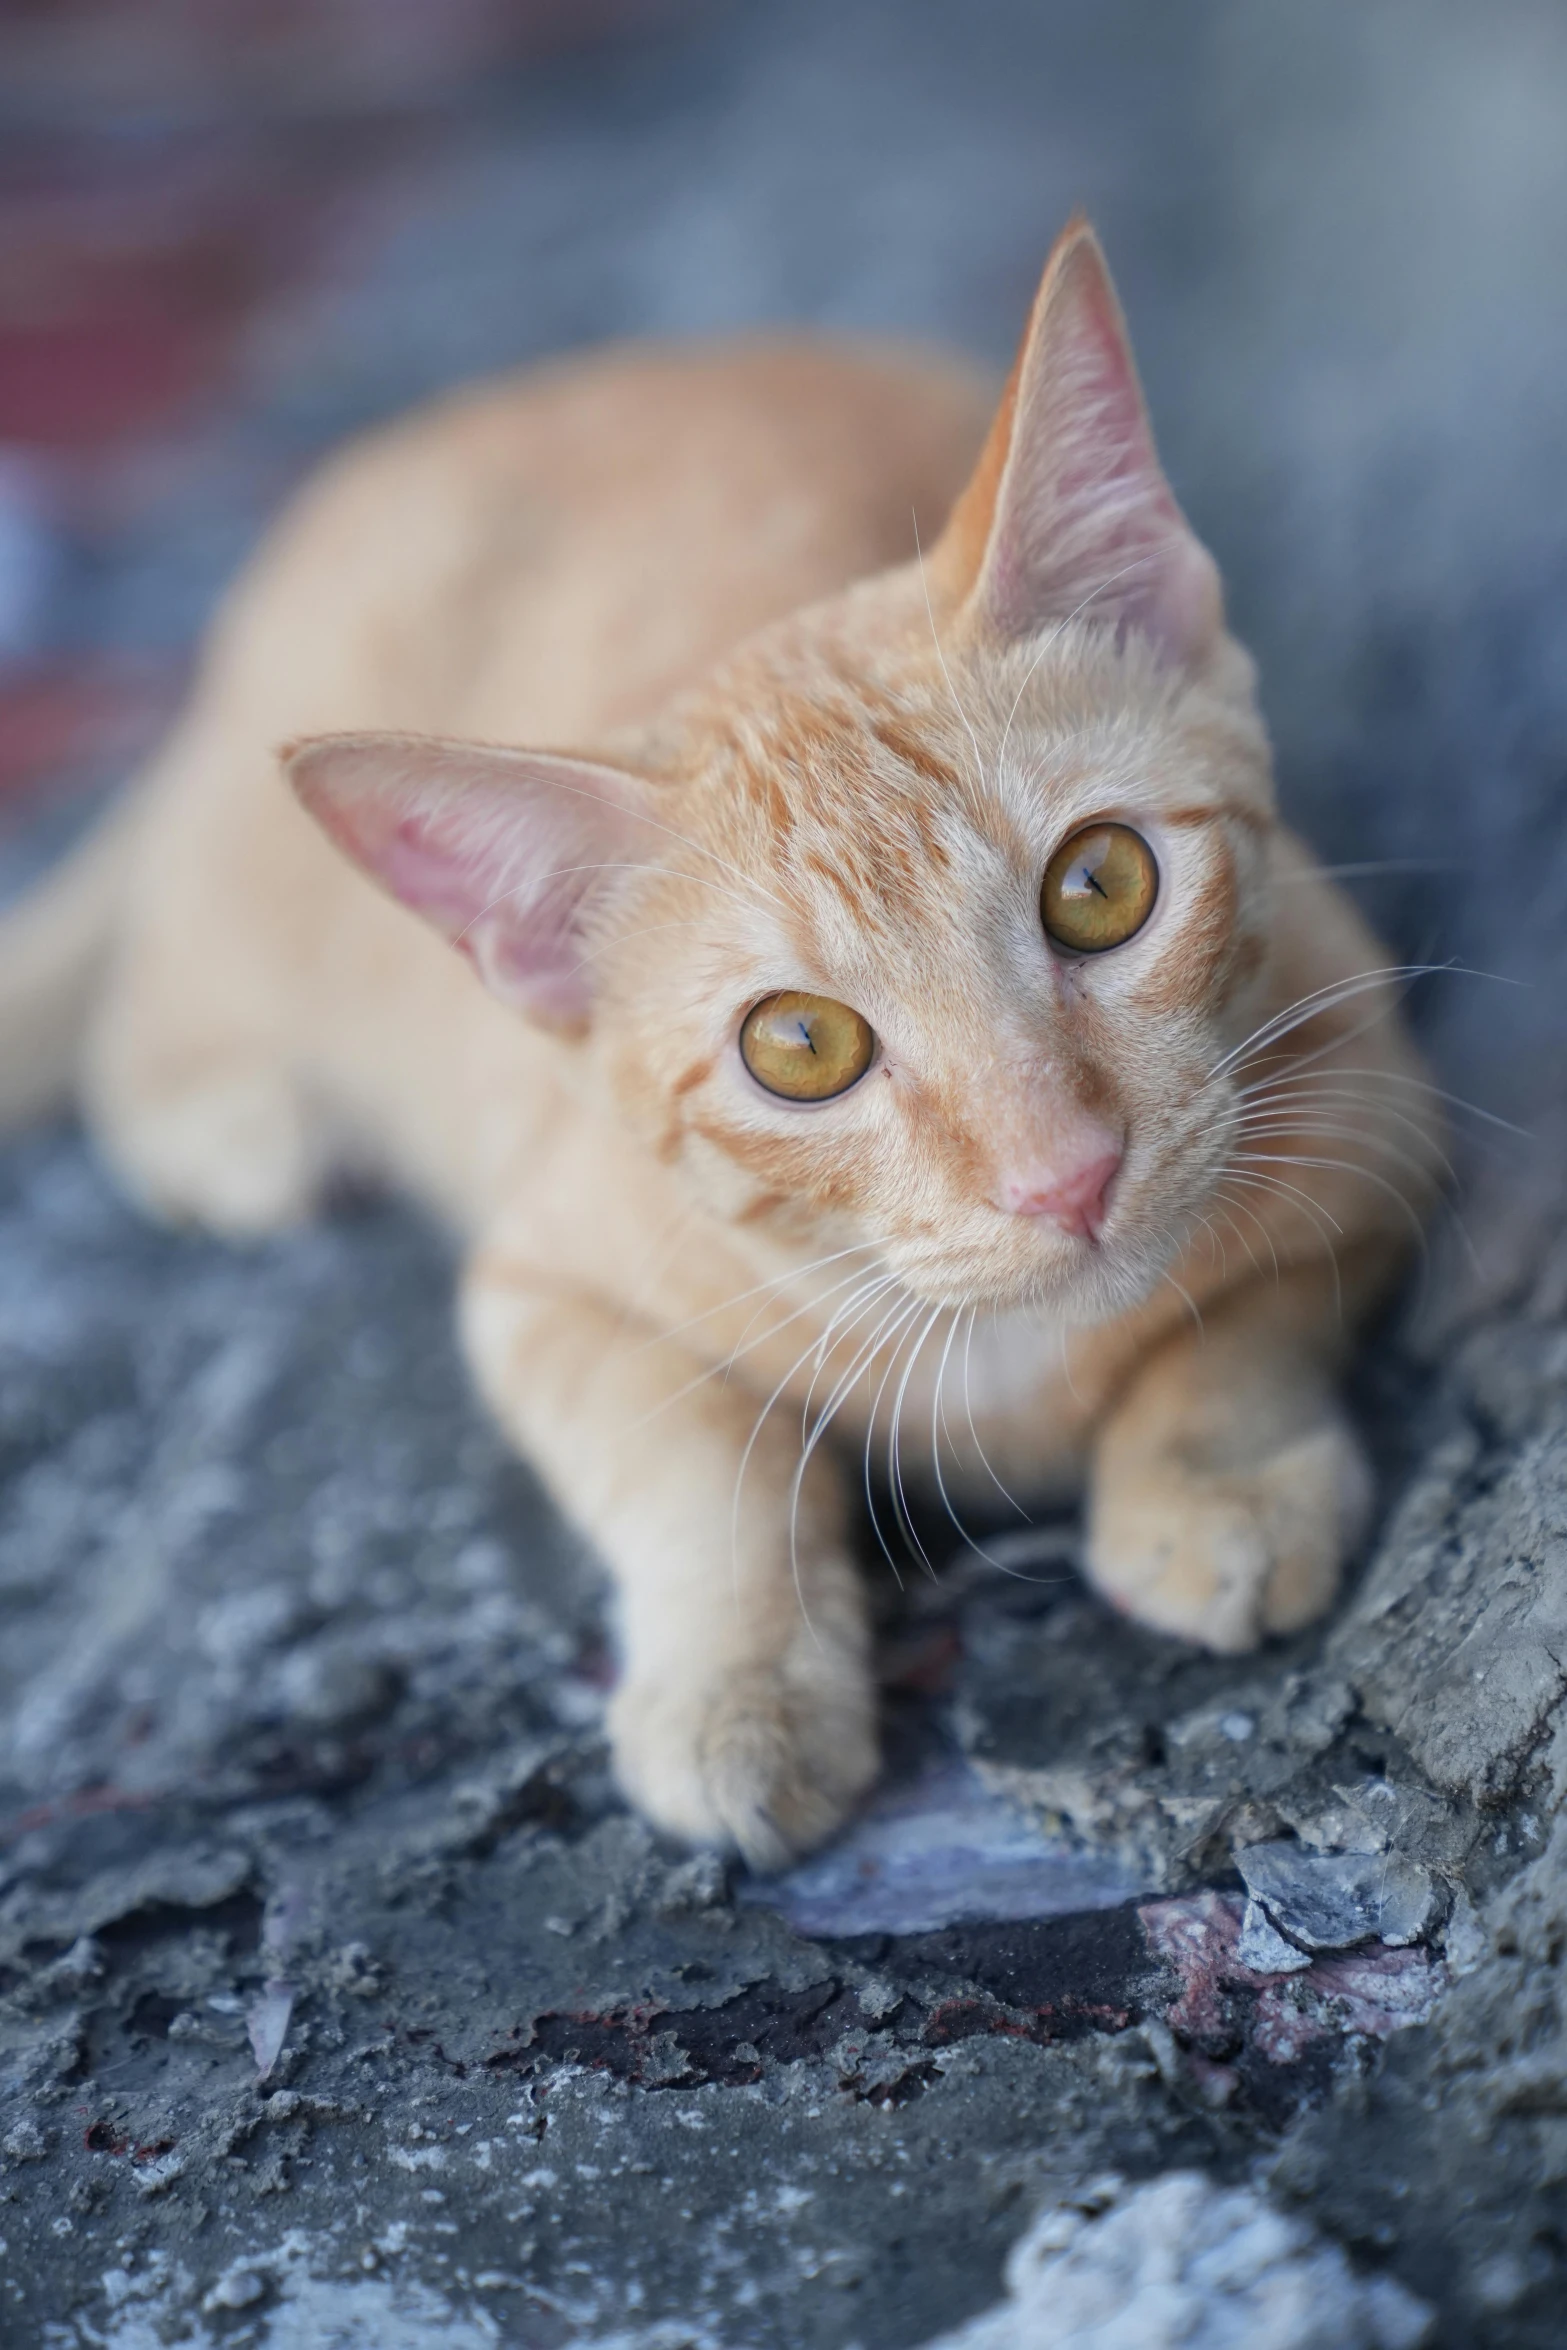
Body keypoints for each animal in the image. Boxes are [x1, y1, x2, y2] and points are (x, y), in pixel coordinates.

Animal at [0, 224, 1447, 1870]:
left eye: (1099, 886)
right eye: (799, 1046)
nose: (1064, 1178)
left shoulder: (1372, 1100)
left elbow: (1245, 1313)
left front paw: (1217, 1483)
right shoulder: (542, 1291)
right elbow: (703, 1469)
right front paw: (736, 1686)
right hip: (259, 903)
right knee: (153, 973)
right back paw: (232, 1116)